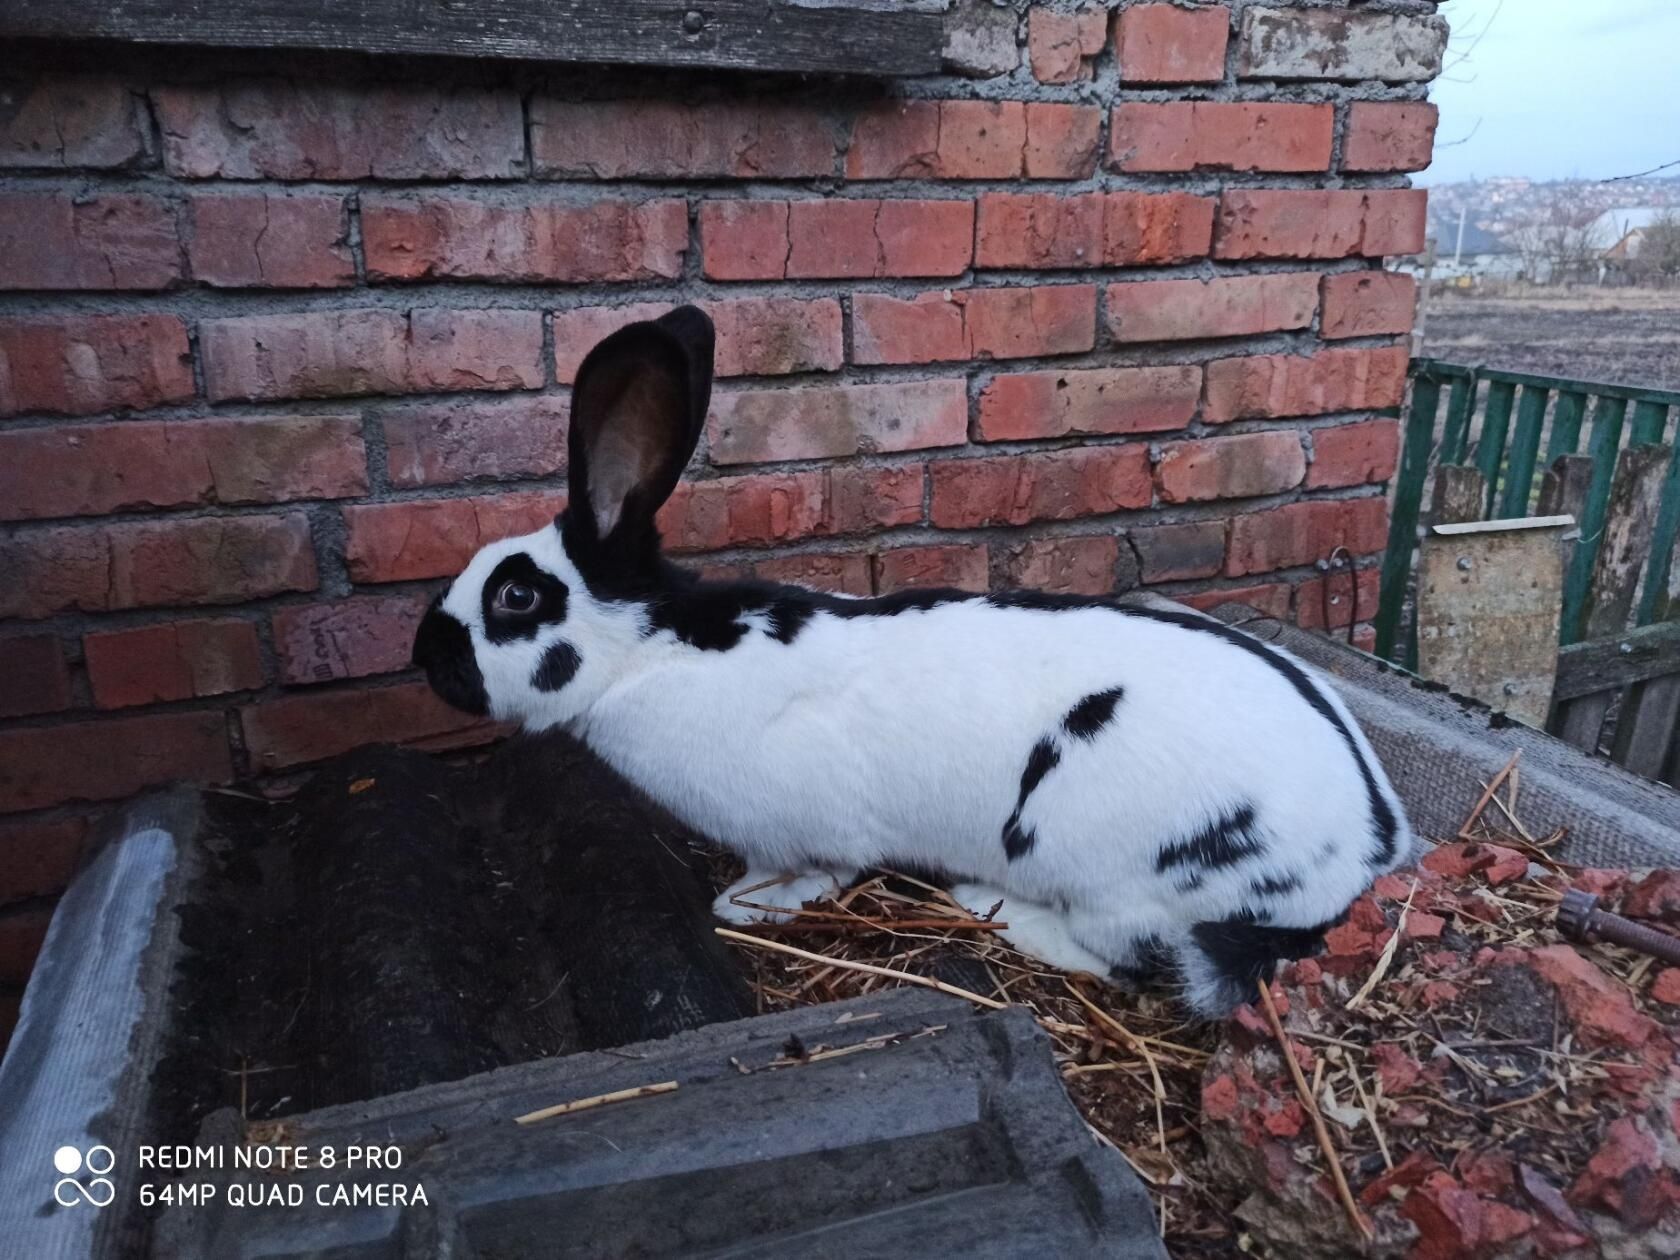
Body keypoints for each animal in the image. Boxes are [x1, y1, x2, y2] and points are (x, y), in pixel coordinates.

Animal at [413, 305, 1411, 1014]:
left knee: (1127, 959)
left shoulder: (809, 829)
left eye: (514, 598)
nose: (425, 653)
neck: (651, 650)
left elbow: (810, 873)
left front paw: (746, 907)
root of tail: (1362, 848)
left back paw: (988, 905)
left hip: (1114, 865)